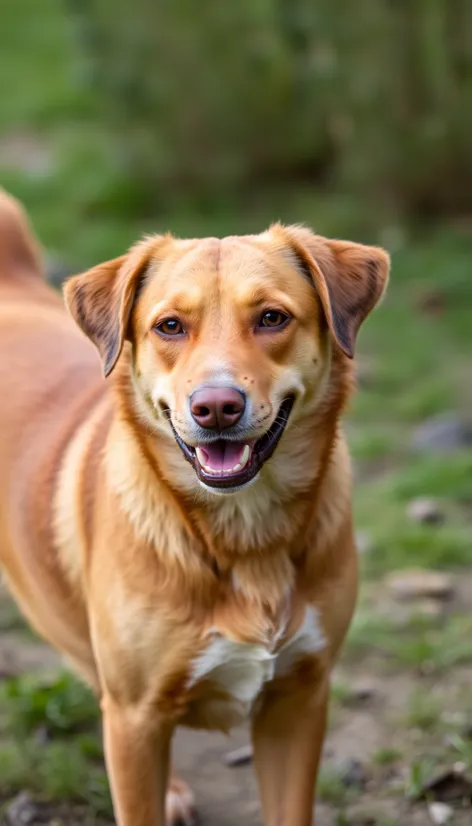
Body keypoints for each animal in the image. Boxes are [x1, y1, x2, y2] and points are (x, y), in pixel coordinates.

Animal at [0, 190, 390, 824]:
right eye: (170, 326)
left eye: (272, 318)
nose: (216, 407)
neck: (244, 532)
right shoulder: (134, 717)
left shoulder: (299, 701)